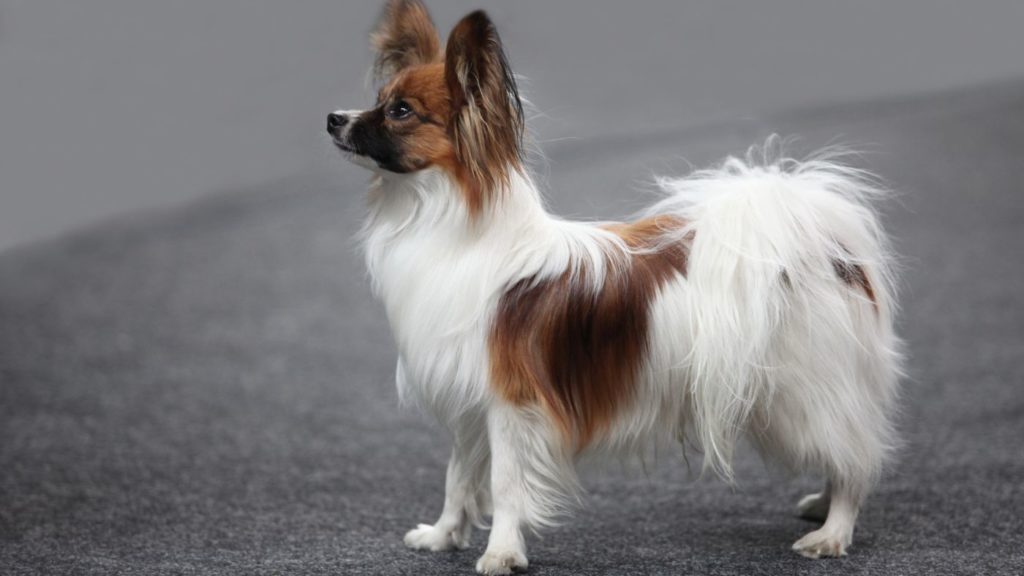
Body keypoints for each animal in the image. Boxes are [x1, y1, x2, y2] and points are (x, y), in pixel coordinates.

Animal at [327, 2, 905, 569]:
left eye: (401, 112)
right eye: (378, 101)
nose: (333, 118)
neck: (444, 222)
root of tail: (824, 245)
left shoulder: (514, 402)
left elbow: (507, 483)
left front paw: (502, 553)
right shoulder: (471, 401)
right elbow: (459, 477)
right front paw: (444, 535)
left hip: (800, 392)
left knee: (854, 459)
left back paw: (833, 531)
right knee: (846, 450)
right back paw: (821, 506)